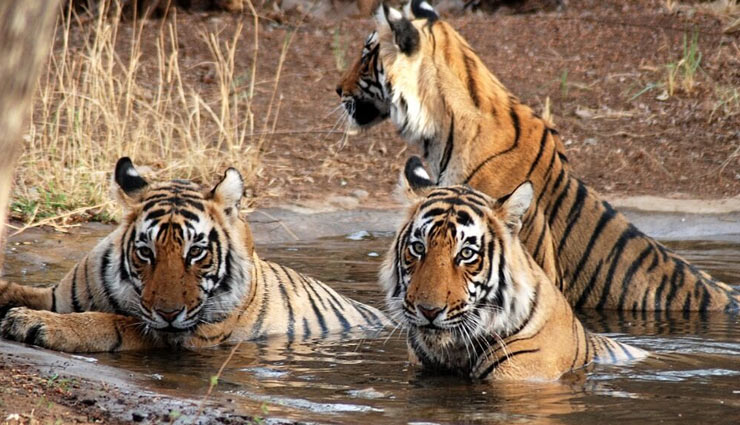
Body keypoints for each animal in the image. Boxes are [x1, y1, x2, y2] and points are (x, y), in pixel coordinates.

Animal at [0, 157, 387, 352]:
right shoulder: (57, 295)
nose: (169, 313)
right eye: (146, 252)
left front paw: (34, 323)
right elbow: (17, 290)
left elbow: (113, 322)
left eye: (196, 252)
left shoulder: (182, 335)